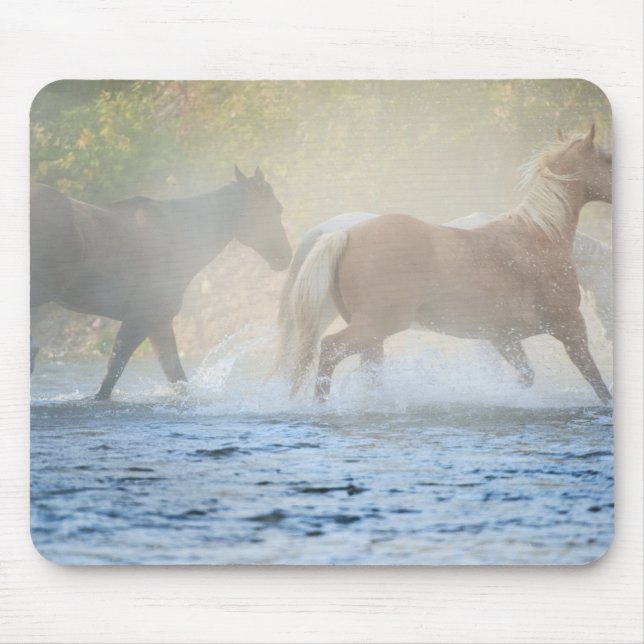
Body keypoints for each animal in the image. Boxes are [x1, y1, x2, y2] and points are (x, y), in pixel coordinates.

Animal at [31, 166, 292, 400]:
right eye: (277, 208)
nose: (285, 256)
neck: (181, 239)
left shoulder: (160, 321)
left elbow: (175, 377)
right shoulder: (142, 317)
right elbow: (110, 378)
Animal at [277, 126, 612, 403]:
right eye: (608, 159)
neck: (539, 236)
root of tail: (344, 234)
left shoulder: (503, 337)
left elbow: (525, 376)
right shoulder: (570, 327)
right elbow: (597, 382)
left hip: (372, 333)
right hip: (374, 325)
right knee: (330, 350)